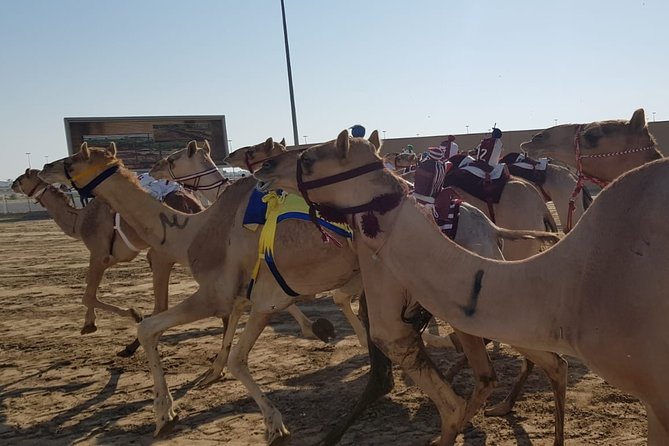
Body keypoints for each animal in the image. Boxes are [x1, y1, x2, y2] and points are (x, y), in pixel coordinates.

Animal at [11, 169, 203, 356]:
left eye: (22, 178)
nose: (12, 184)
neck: (79, 221)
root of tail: (190, 204)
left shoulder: (99, 255)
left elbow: (87, 296)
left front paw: (133, 314)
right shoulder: (112, 257)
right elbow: (89, 285)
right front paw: (89, 323)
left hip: (162, 253)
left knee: (161, 305)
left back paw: (131, 346)